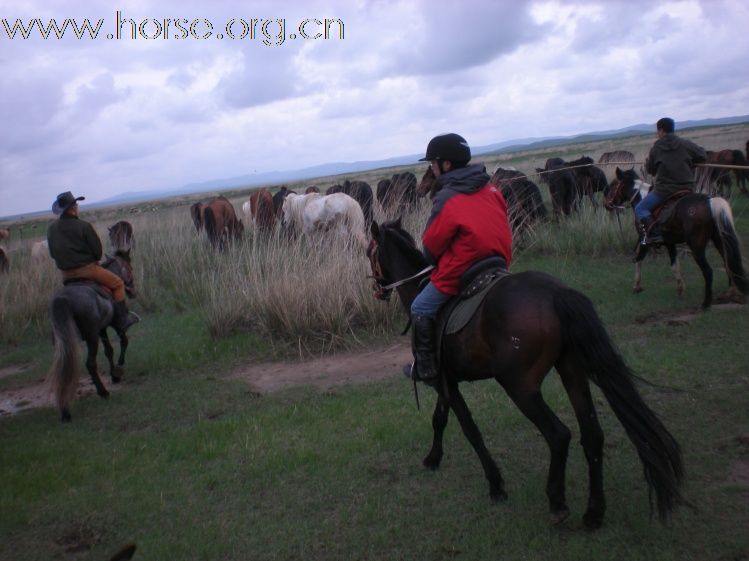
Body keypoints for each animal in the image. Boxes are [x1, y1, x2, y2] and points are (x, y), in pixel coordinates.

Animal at [48, 252, 137, 422]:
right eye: (130, 267)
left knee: (62, 367)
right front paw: (119, 368)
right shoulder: (115, 325)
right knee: (90, 364)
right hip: (91, 338)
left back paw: (65, 410)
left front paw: (114, 375)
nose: (133, 290)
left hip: (63, 342)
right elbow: (124, 341)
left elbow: (109, 350)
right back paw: (103, 393)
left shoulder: (101, 329)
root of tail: (63, 299)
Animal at [366, 217, 684, 528]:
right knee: (592, 435)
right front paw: (433, 458)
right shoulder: (446, 381)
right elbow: (439, 419)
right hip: (572, 373)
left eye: (370, 252)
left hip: (520, 387)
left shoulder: (447, 383)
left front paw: (495, 484)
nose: (377, 289)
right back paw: (594, 512)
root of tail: (556, 293)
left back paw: (557, 503)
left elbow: (470, 430)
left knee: (558, 435)